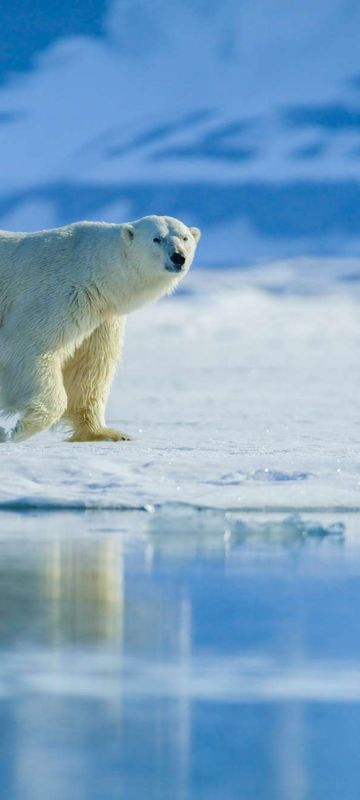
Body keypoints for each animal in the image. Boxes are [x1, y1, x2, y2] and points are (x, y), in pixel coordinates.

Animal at [0, 216, 200, 444]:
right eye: (156, 238)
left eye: (184, 238)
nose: (178, 257)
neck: (93, 267)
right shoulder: (59, 294)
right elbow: (26, 345)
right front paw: (21, 429)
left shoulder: (102, 316)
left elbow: (89, 368)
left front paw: (108, 433)